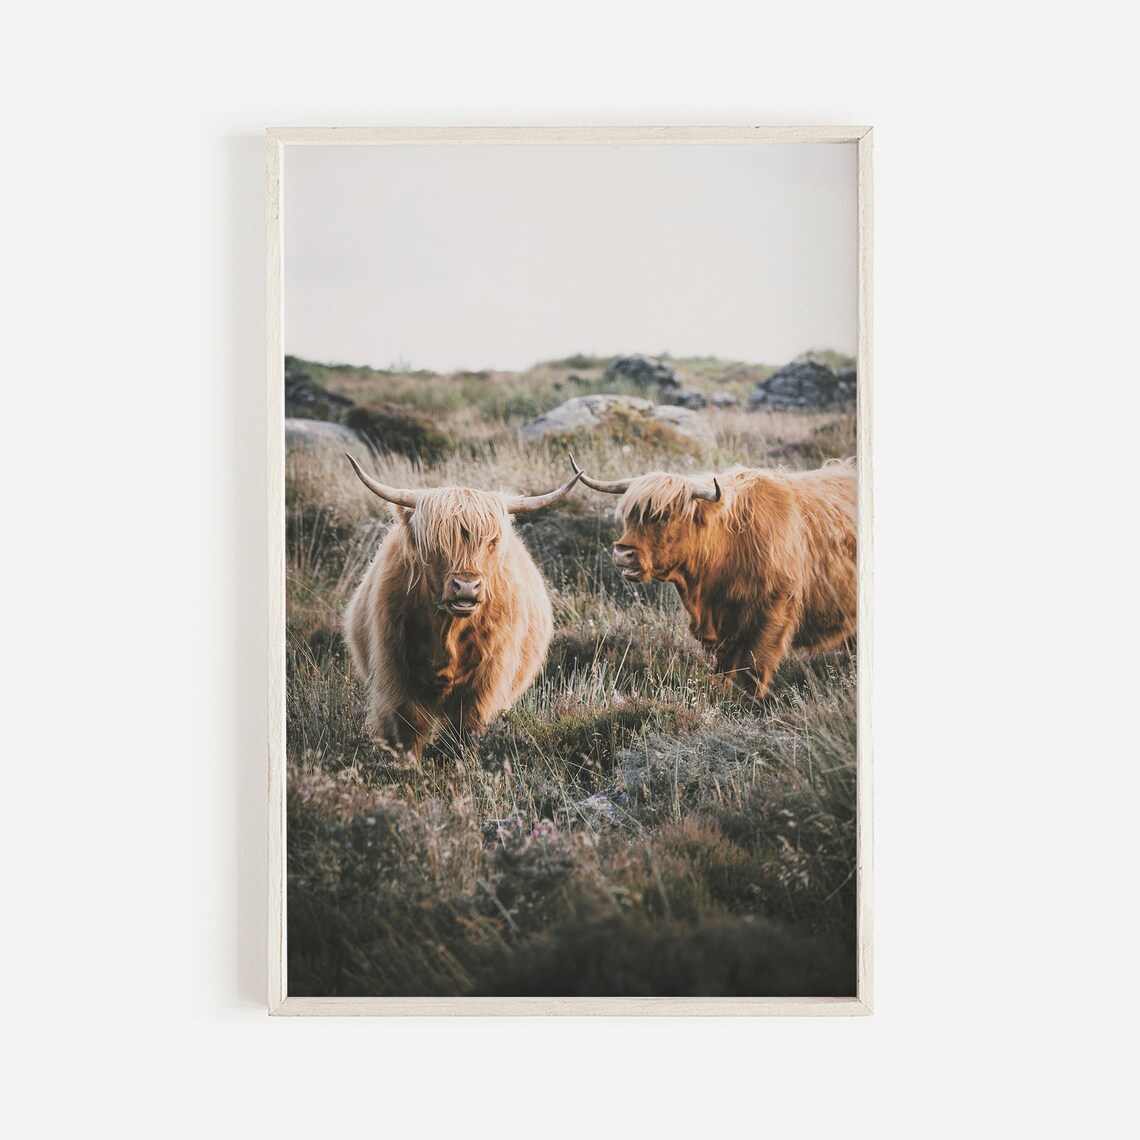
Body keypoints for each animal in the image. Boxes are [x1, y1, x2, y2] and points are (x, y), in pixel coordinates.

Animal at [343, 455, 581, 756]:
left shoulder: (485, 686)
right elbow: (409, 730)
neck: (448, 631)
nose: (466, 586)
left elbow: (466, 730)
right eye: (436, 543)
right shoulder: (396, 676)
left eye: (491, 542)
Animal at [571, 456, 857, 700]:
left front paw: (750, 704)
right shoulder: (723, 624)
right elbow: (724, 668)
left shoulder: (774, 611)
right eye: (629, 517)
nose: (623, 553)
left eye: (663, 516)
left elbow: (755, 667)